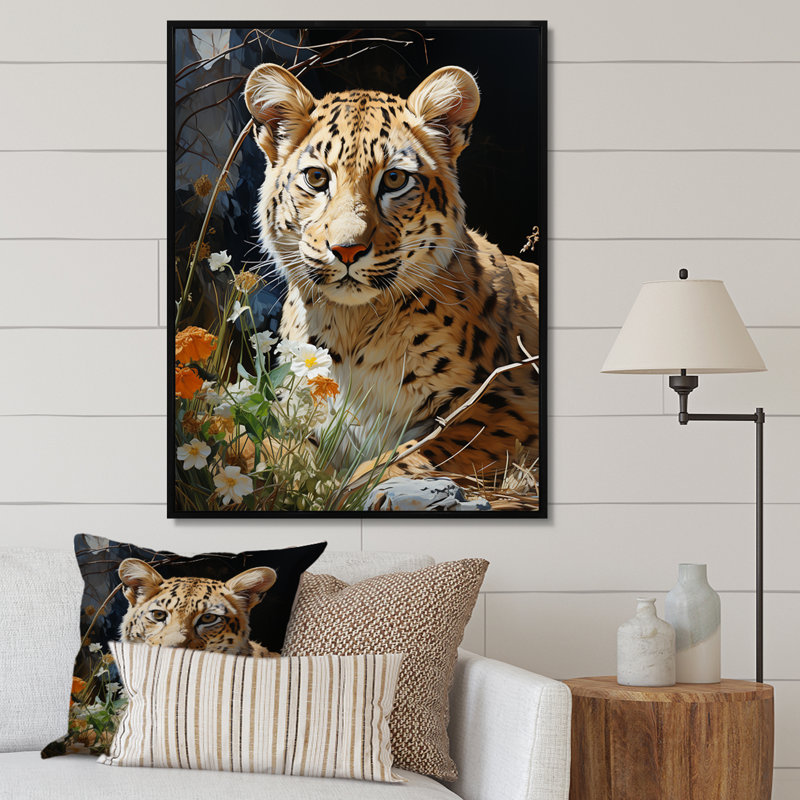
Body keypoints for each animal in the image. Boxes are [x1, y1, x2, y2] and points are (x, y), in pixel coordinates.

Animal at [243, 63, 540, 496]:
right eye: (316, 178)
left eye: (396, 180)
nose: (347, 250)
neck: (350, 329)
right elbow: (263, 444)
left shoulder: (505, 404)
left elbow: (408, 455)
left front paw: (349, 489)